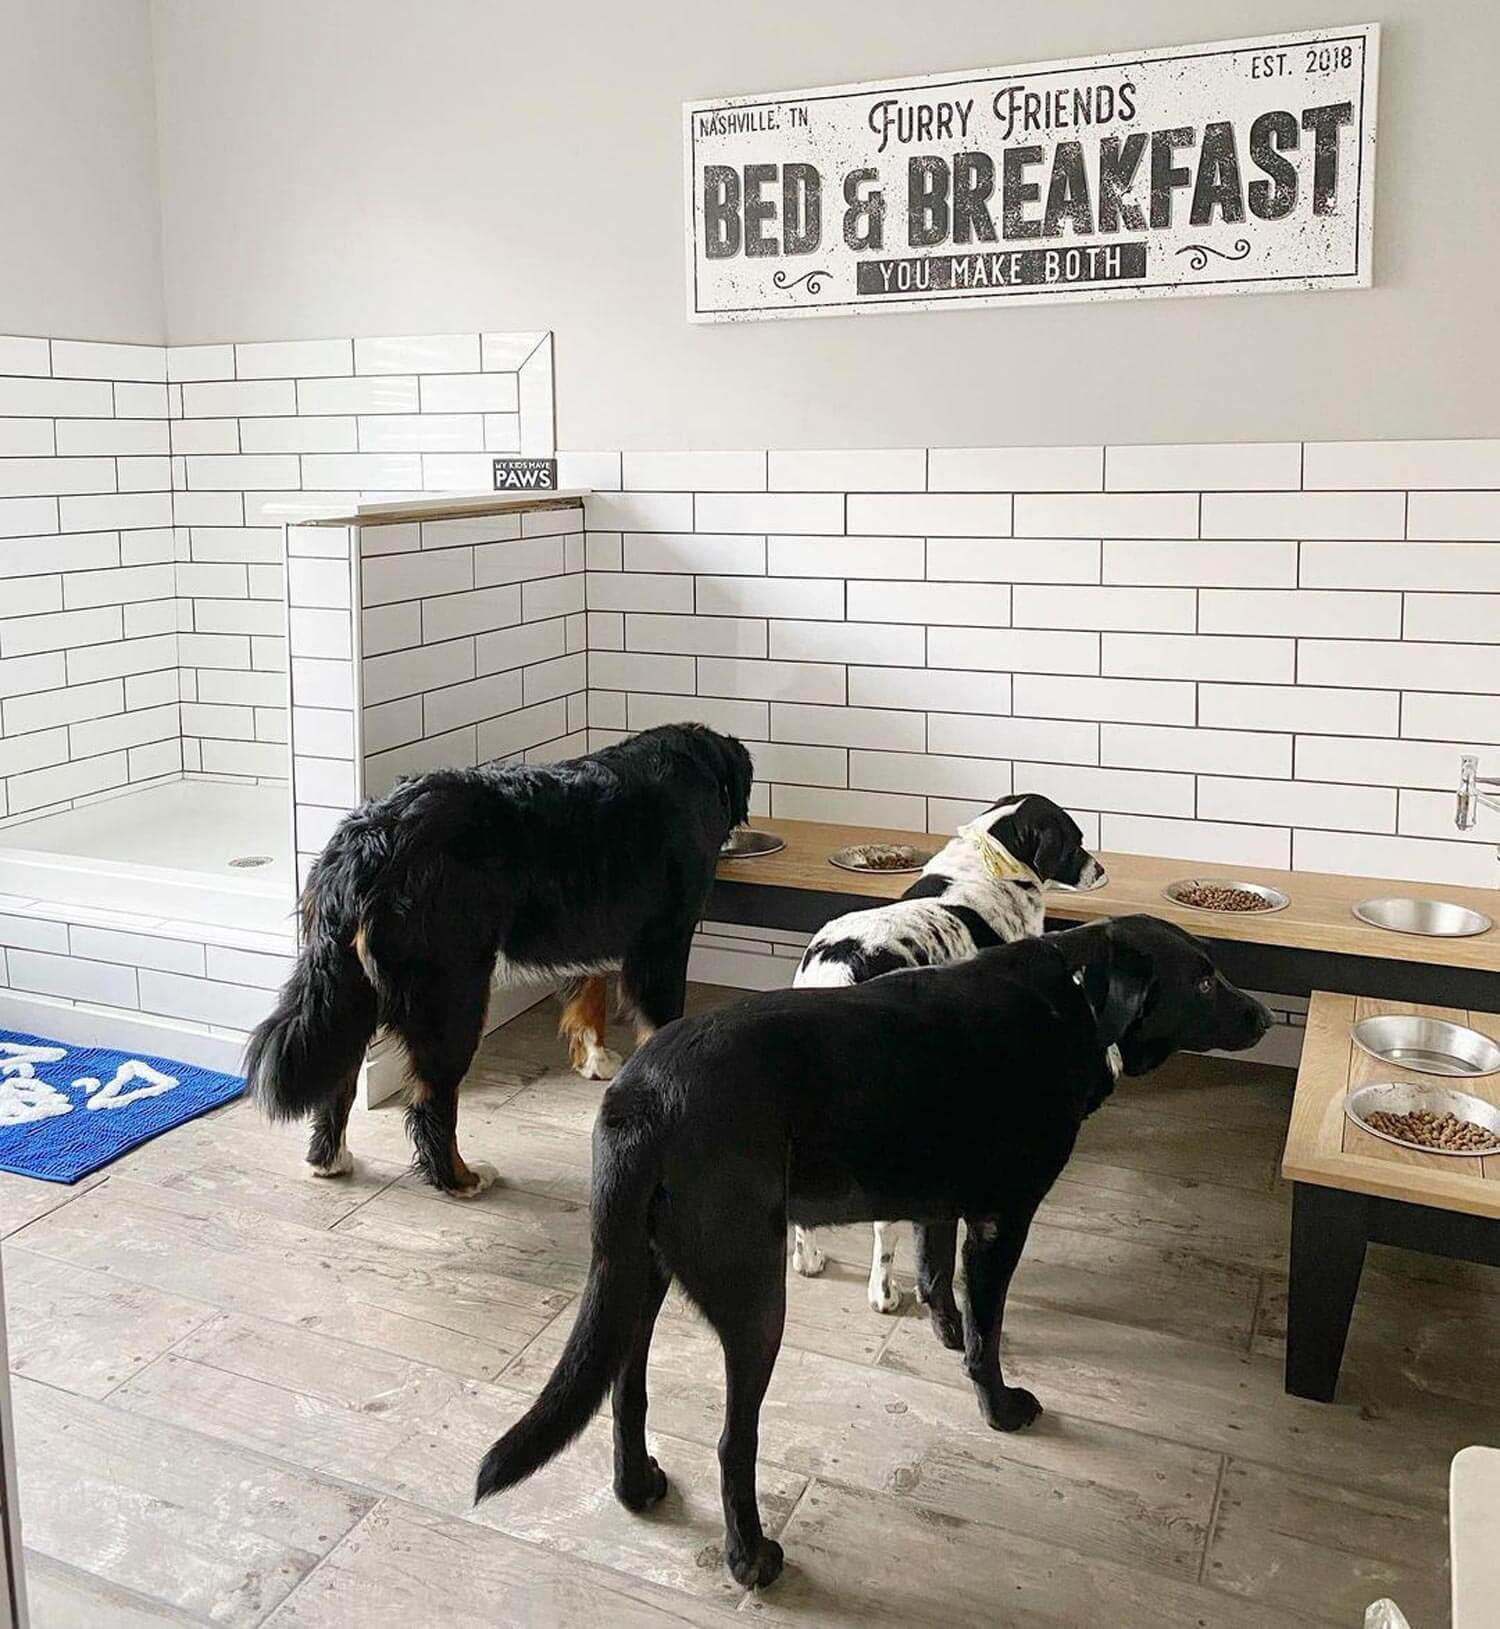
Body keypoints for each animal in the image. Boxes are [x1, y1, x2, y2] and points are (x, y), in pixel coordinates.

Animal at [252, 726, 762, 1198]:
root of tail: (371, 838)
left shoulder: (591, 924)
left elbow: (588, 996)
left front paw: (596, 1060)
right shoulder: (663, 941)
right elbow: (657, 1021)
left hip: (352, 992)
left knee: (338, 1079)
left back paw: (329, 1160)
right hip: (453, 992)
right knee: (431, 1103)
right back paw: (461, 1178)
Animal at [475, 918, 1270, 1589]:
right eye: (1204, 982)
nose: (1264, 1017)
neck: (1073, 998)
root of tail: (639, 1097)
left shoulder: (942, 1201)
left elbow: (935, 1269)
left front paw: (942, 1330)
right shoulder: (1001, 1220)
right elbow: (988, 1331)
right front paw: (998, 1405)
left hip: (639, 1274)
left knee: (626, 1388)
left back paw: (636, 1487)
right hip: (755, 1301)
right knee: (734, 1440)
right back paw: (750, 1558)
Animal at [791, 791, 1107, 1322]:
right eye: (1075, 840)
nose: (1101, 871)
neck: (993, 863)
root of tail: (837, 974)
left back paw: (808, 1259)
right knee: (884, 1229)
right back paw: (883, 1292)